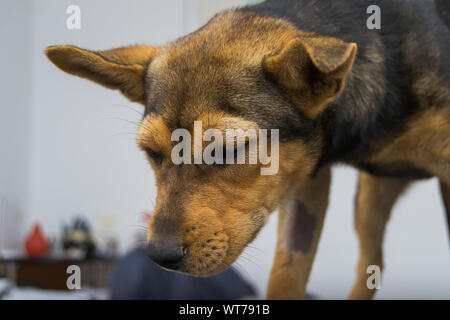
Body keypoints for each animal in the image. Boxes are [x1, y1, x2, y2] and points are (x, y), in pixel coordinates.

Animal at [44, 0, 448, 300]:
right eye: (152, 153)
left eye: (226, 151)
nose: (159, 257)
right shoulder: (304, 182)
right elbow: (286, 274)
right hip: (369, 201)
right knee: (371, 263)